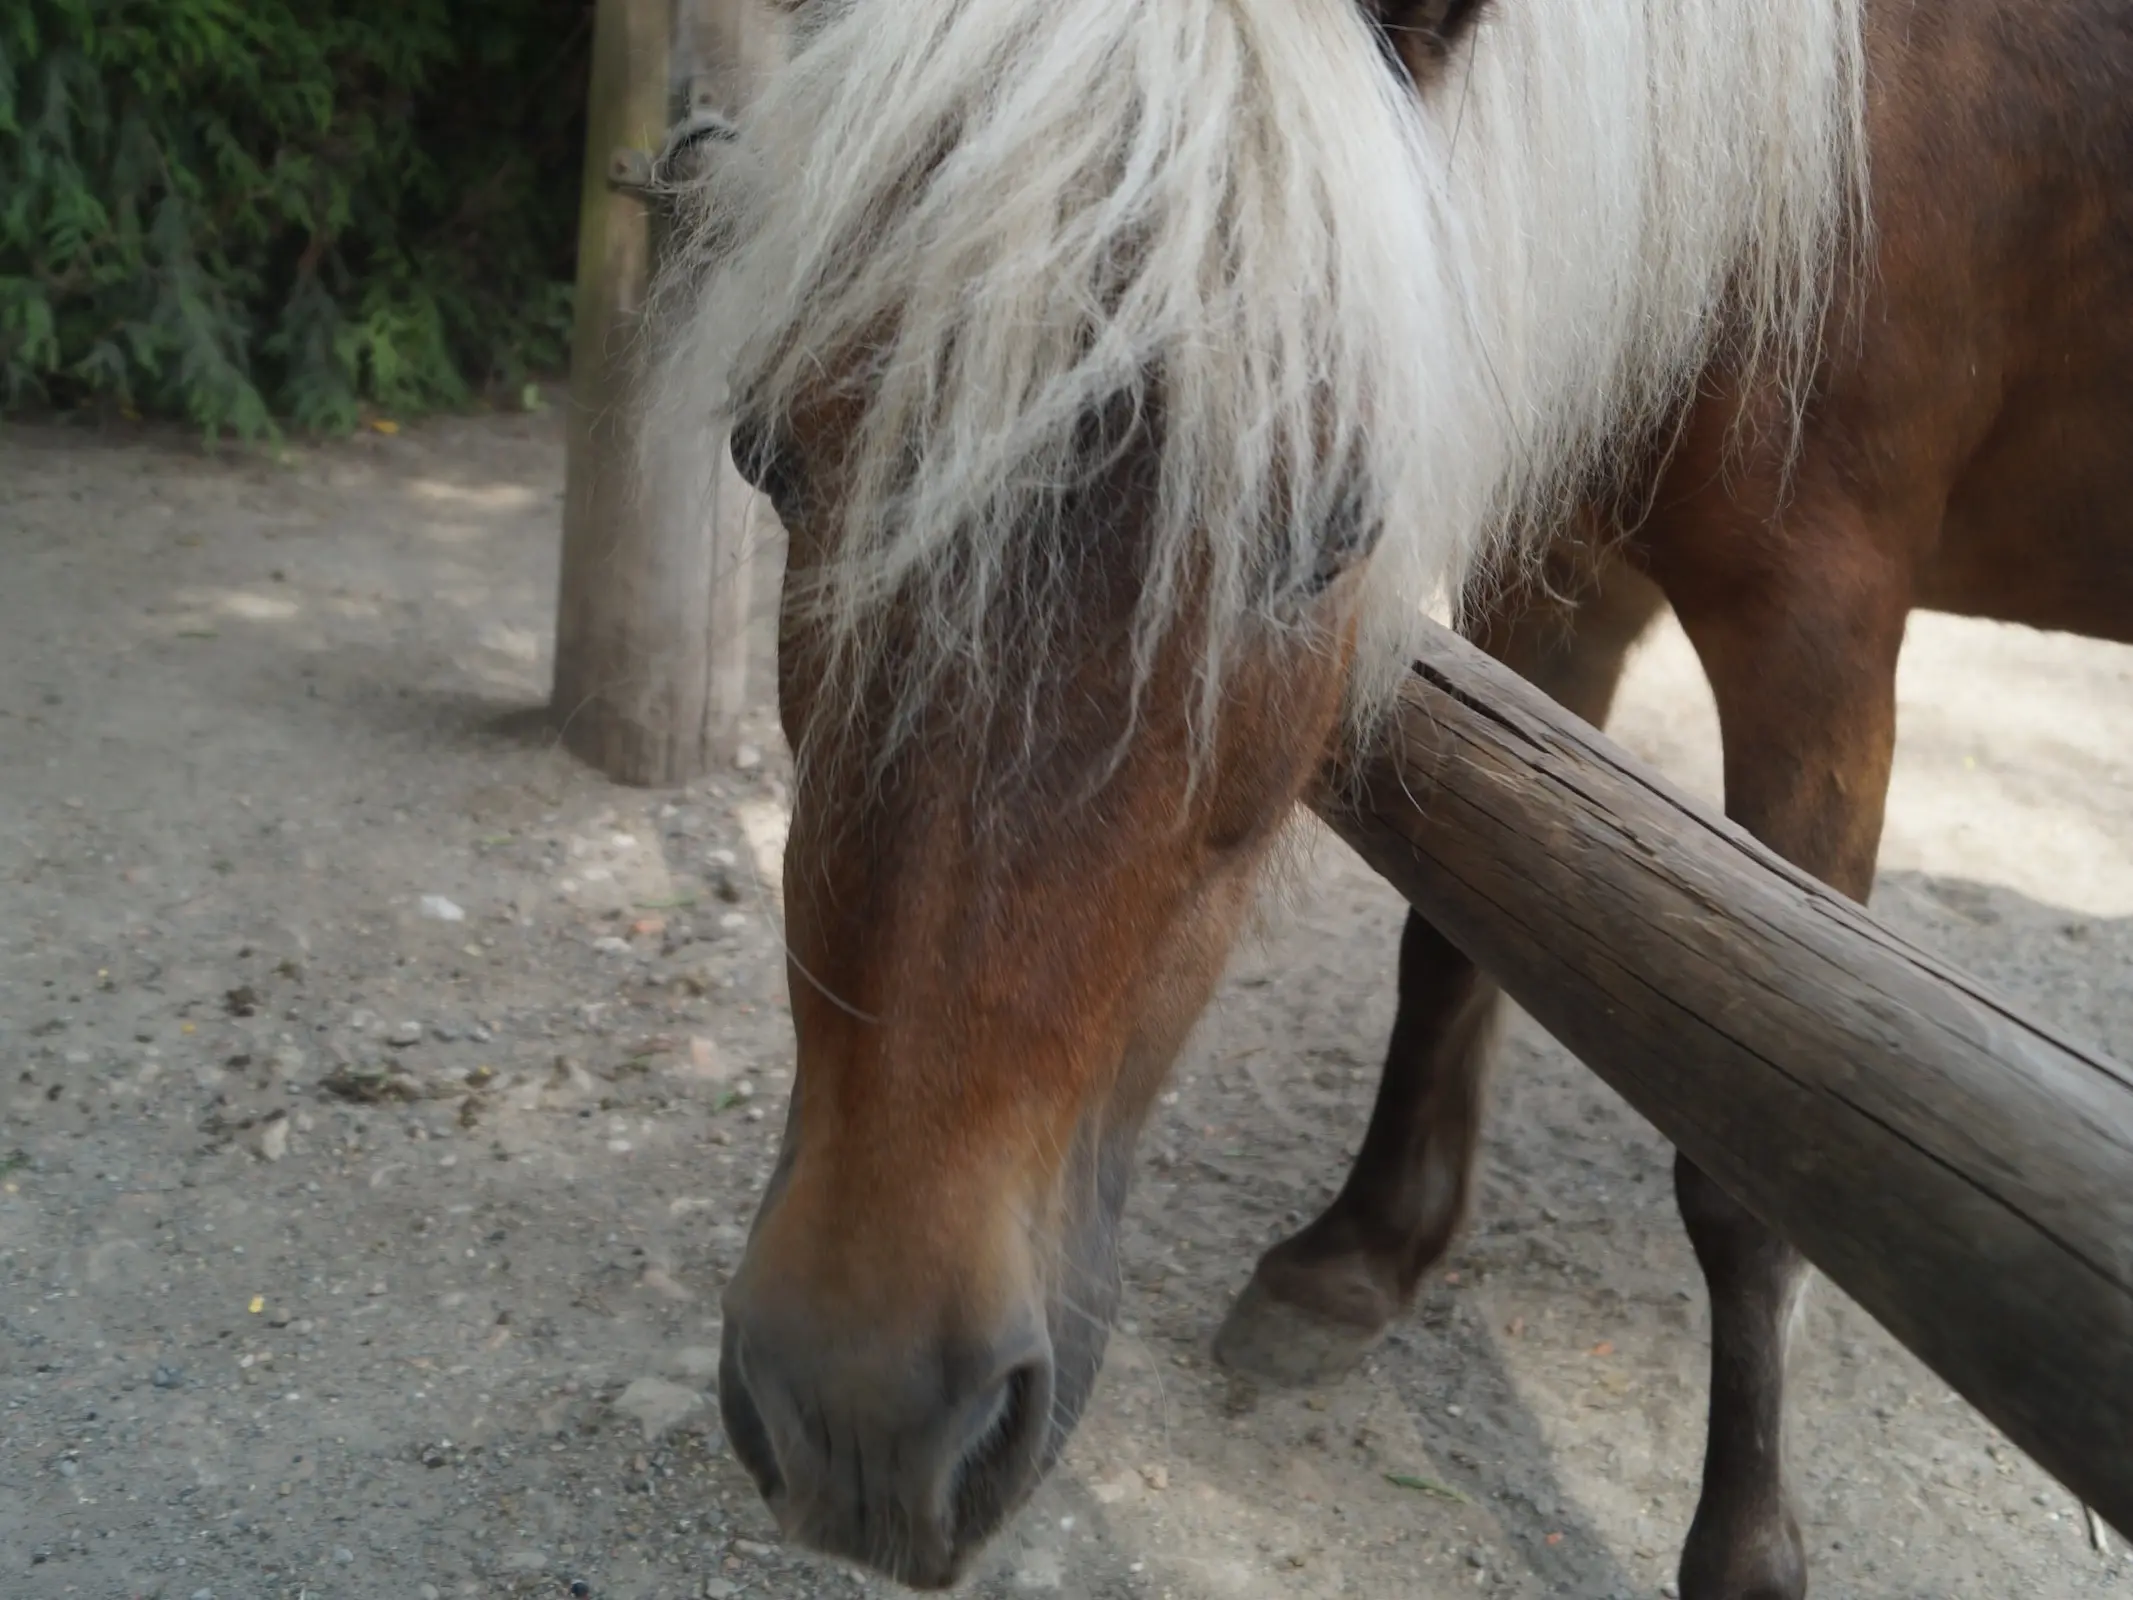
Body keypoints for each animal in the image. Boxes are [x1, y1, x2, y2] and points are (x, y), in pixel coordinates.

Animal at [648, 0, 2133, 1595]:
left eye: (1327, 532)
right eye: (766, 456)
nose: (864, 1419)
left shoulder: (1823, 639)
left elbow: (1758, 1154)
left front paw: (1743, 1547)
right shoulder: (1562, 570)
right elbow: (1456, 944)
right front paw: (1361, 1256)